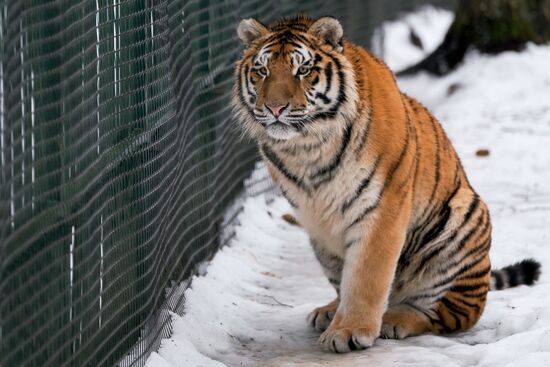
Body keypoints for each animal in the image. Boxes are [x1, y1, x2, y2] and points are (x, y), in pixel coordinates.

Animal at [232, 15, 544, 354]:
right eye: (262, 70)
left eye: (302, 70)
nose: (275, 108)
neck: (307, 147)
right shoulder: (316, 218)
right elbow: (343, 274)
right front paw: (338, 315)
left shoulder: (382, 207)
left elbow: (365, 276)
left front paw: (349, 331)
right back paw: (330, 311)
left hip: (463, 219)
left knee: (446, 315)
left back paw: (395, 318)